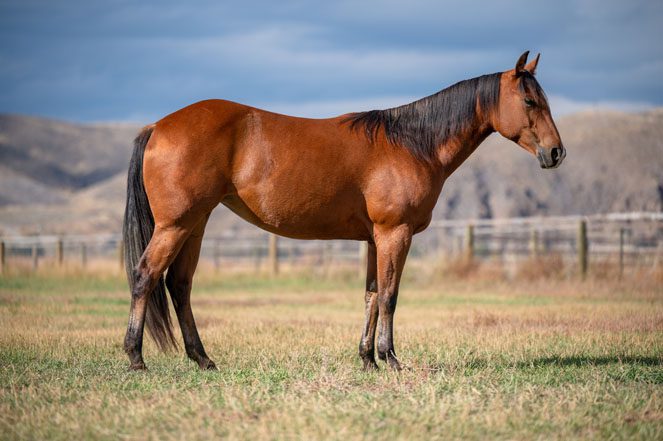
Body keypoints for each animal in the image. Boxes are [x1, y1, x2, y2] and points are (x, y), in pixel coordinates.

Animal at [123, 51, 565, 371]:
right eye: (529, 100)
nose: (556, 152)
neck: (412, 143)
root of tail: (157, 127)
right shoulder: (394, 233)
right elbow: (389, 296)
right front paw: (390, 358)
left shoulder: (374, 239)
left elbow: (370, 295)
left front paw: (368, 359)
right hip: (175, 225)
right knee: (145, 276)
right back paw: (136, 357)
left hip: (194, 225)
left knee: (179, 286)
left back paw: (203, 359)